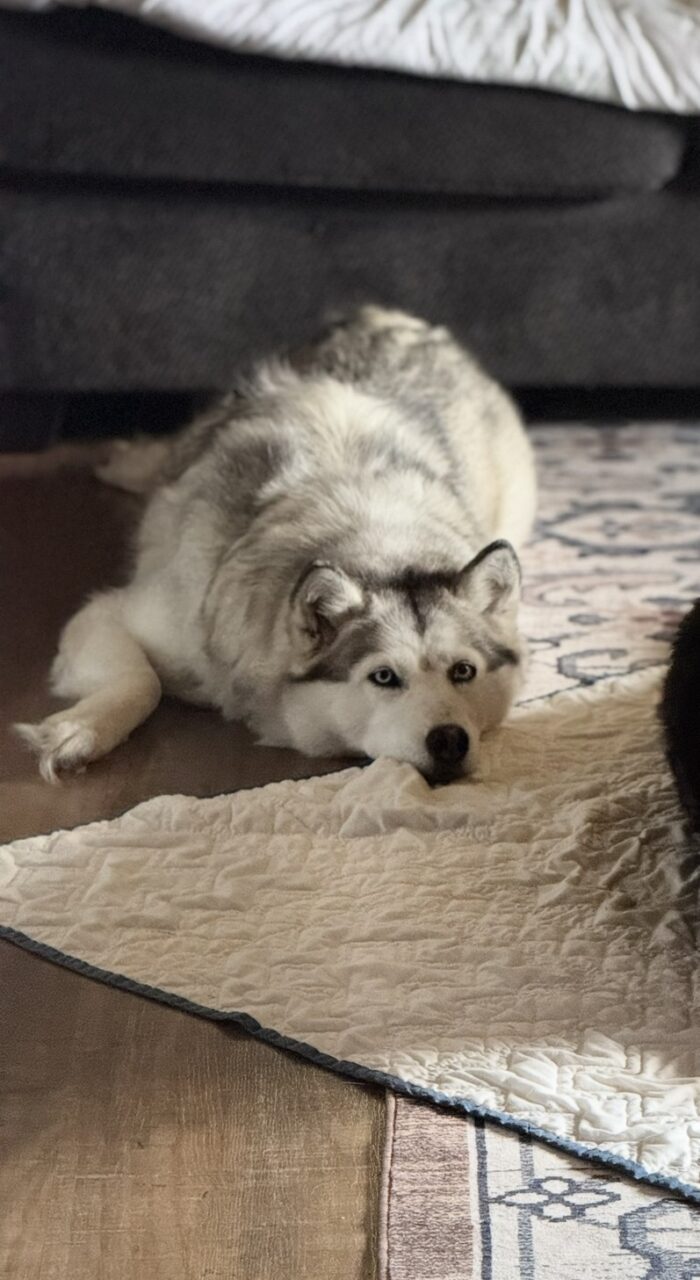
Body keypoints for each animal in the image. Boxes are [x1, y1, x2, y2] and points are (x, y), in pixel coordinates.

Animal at [16, 306, 537, 786]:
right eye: (384, 676)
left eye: (463, 671)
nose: (450, 740)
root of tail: (400, 319)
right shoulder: (109, 614)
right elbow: (143, 682)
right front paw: (79, 732)